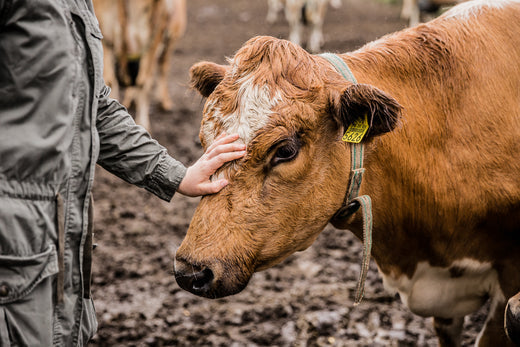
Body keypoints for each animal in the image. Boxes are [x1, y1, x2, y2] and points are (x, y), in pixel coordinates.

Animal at [93, 0, 187, 131]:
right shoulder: (106, 37)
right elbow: (111, 81)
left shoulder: (152, 39)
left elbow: (143, 82)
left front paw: (143, 124)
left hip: (171, 35)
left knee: (162, 67)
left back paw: (164, 102)